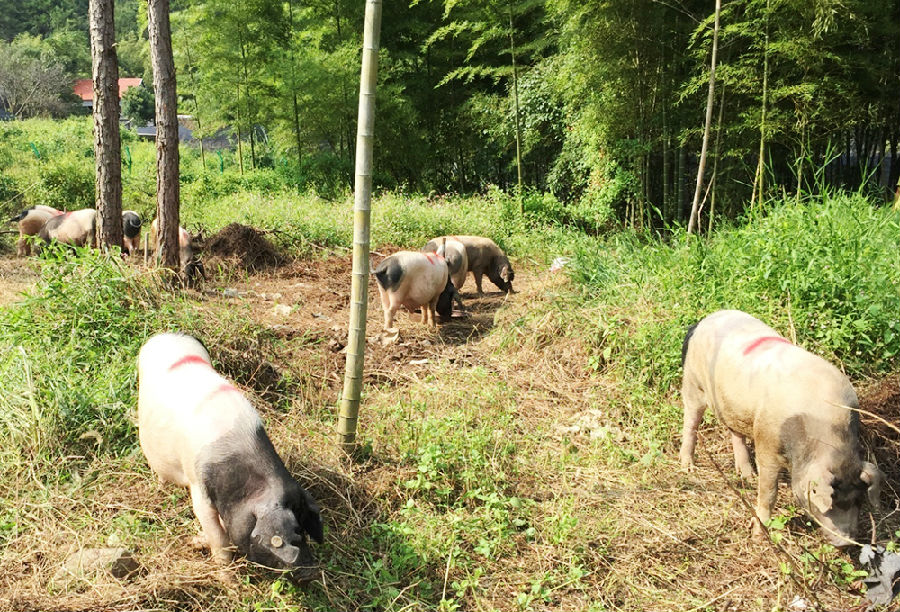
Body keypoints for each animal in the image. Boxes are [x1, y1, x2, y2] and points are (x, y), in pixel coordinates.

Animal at [137, 332, 323, 578]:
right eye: (279, 539)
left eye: (303, 529)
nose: (309, 571)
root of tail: (166, 335)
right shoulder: (199, 490)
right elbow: (217, 535)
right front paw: (228, 577)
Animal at [679, 309, 883, 546]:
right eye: (832, 501)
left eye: (859, 500)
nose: (847, 541)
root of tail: (701, 322)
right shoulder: (766, 441)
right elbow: (769, 492)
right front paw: (758, 536)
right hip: (693, 383)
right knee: (691, 422)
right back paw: (688, 467)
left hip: (733, 407)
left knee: (735, 432)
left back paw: (747, 476)